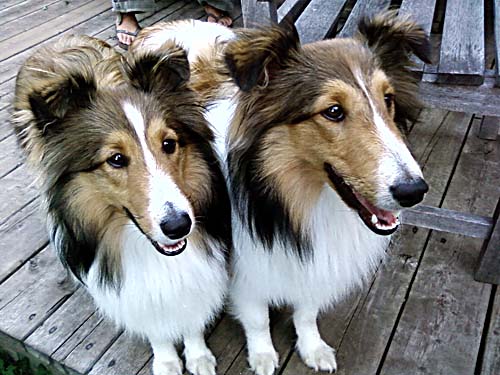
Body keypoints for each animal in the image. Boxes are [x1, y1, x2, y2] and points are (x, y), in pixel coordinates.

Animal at [11, 35, 230, 375]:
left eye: (169, 143)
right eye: (115, 159)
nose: (179, 226)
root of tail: (61, 42)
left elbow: (191, 313)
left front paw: (197, 355)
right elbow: (154, 324)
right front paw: (167, 361)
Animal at [132, 10, 430, 374]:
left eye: (388, 99)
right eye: (333, 111)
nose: (414, 191)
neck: (296, 199)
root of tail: (171, 24)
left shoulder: (314, 263)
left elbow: (307, 312)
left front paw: (312, 347)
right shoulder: (246, 268)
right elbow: (257, 319)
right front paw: (262, 355)